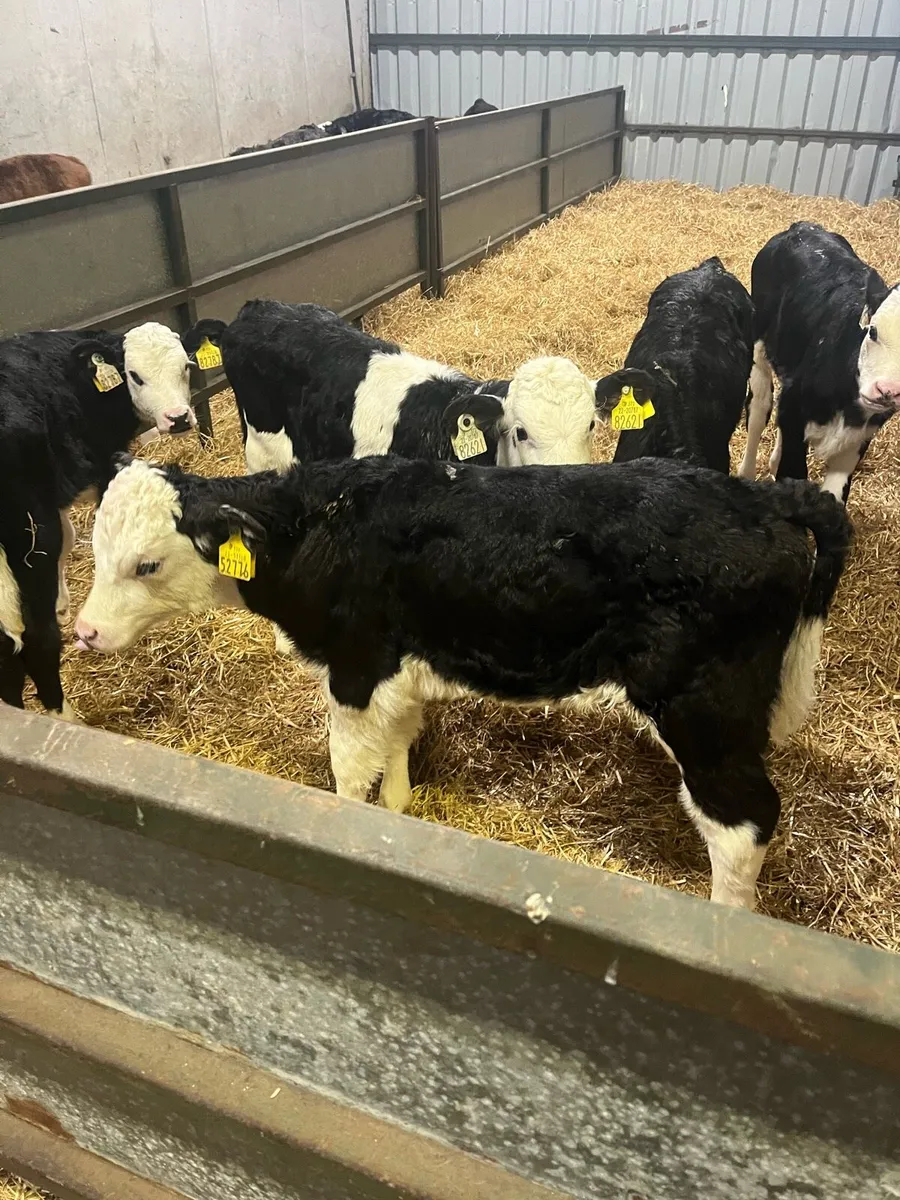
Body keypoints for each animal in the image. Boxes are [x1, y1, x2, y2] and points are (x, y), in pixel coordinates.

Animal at [0, 323, 198, 720]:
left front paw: (63, 604)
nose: (179, 418)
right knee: (38, 641)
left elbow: (69, 538)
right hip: (28, 538)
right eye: (134, 375)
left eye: (185, 366)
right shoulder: (103, 466)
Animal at [75, 453, 850, 910]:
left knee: (744, 821)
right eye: (95, 548)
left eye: (146, 564)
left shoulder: (356, 668)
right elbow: (394, 753)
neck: (315, 527)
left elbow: (348, 774)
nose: (83, 632)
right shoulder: (396, 675)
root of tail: (762, 497)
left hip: (704, 709)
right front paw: (397, 816)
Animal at [741, 221, 900, 502]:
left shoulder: (858, 440)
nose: (887, 391)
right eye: (873, 331)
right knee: (759, 407)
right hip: (758, 345)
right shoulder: (795, 420)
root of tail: (803, 226)